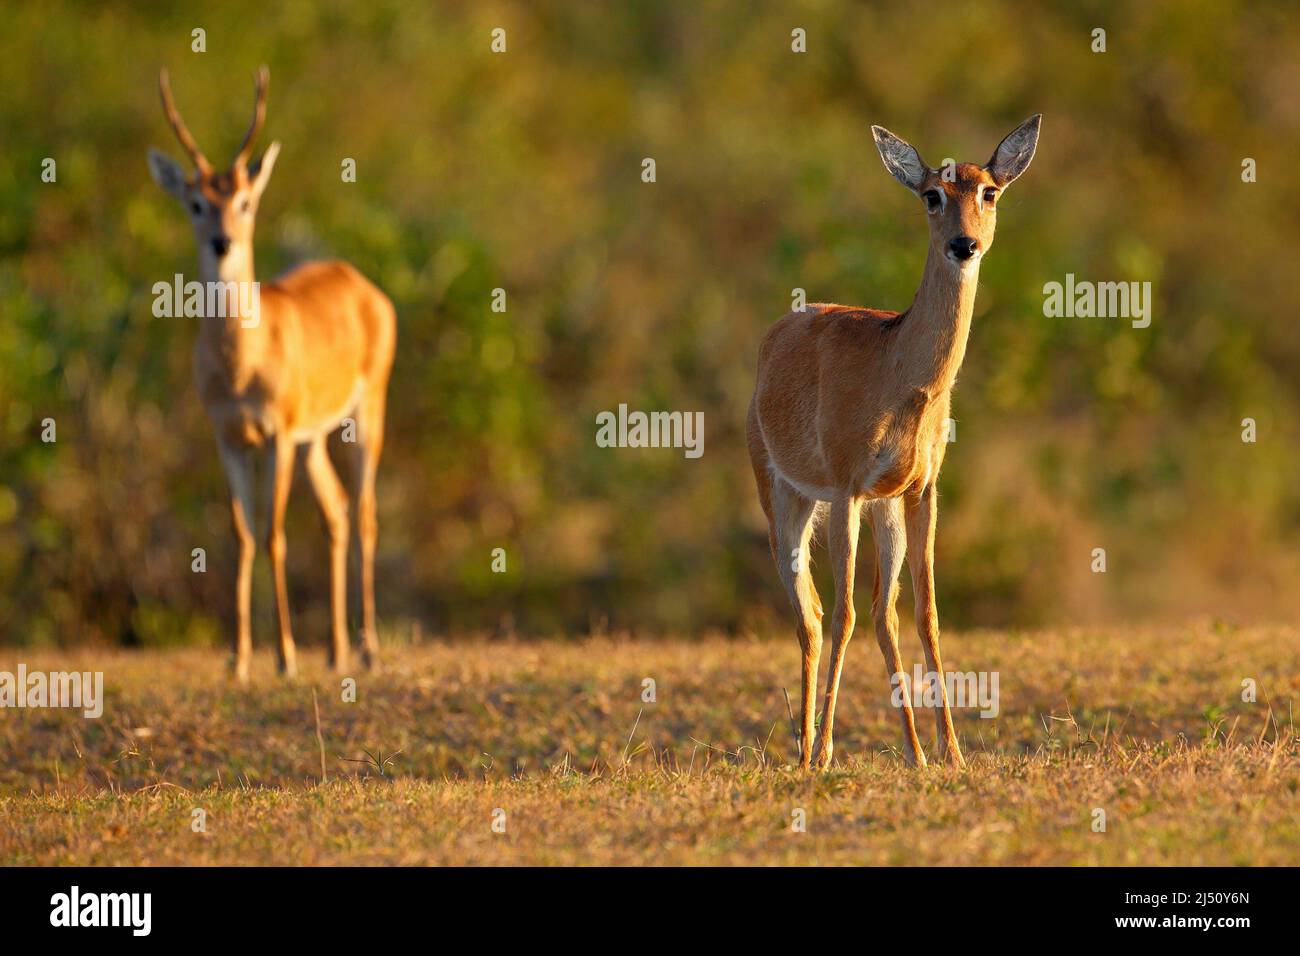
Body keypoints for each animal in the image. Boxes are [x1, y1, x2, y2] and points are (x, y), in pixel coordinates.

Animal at [148, 65, 395, 681]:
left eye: (244, 200)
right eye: (195, 202)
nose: (222, 242)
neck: (241, 363)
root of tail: (363, 285)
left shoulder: (277, 436)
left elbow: (276, 533)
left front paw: (284, 658)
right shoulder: (231, 439)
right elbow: (241, 536)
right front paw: (237, 661)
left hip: (366, 415)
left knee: (365, 513)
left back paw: (368, 649)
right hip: (314, 441)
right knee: (335, 513)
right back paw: (334, 651)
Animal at [748, 113, 1040, 770]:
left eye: (990, 191)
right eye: (932, 194)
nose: (964, 245)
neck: (900, 373)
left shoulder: (921, 490)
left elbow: (924, 612)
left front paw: (951, 752)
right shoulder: (847, 489)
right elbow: (844, 614)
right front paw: (826, 751)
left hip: (880, 509)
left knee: (881, 613)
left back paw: (910, 751)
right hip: (789, 499)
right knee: (812, 612)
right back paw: (806, 751)